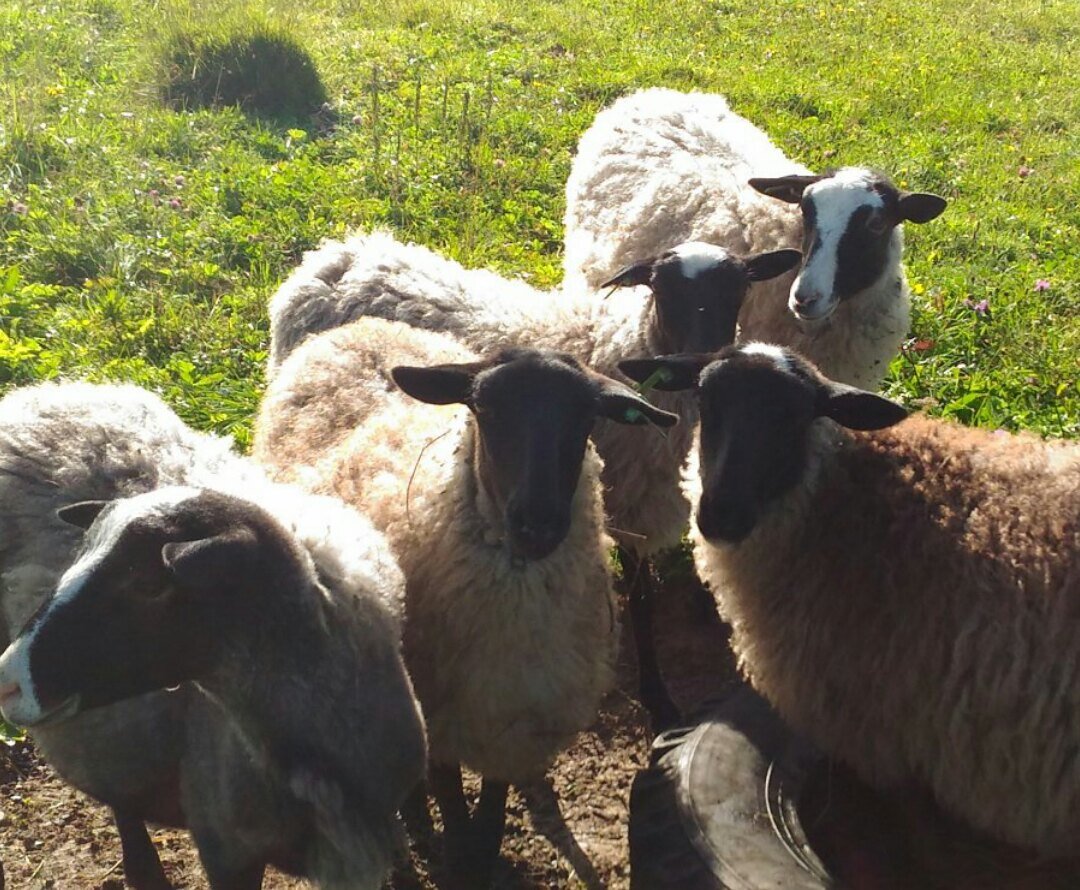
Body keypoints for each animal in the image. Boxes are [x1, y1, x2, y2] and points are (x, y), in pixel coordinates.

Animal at [252, 315, 673, 881]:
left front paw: (481, 854)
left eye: (585, 416)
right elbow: (453, 808)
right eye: (486, 410)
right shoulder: (443, 717)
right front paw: (455, 858)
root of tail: (358, 327)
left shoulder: (509, 722)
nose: (537, 524)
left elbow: (491, 814)